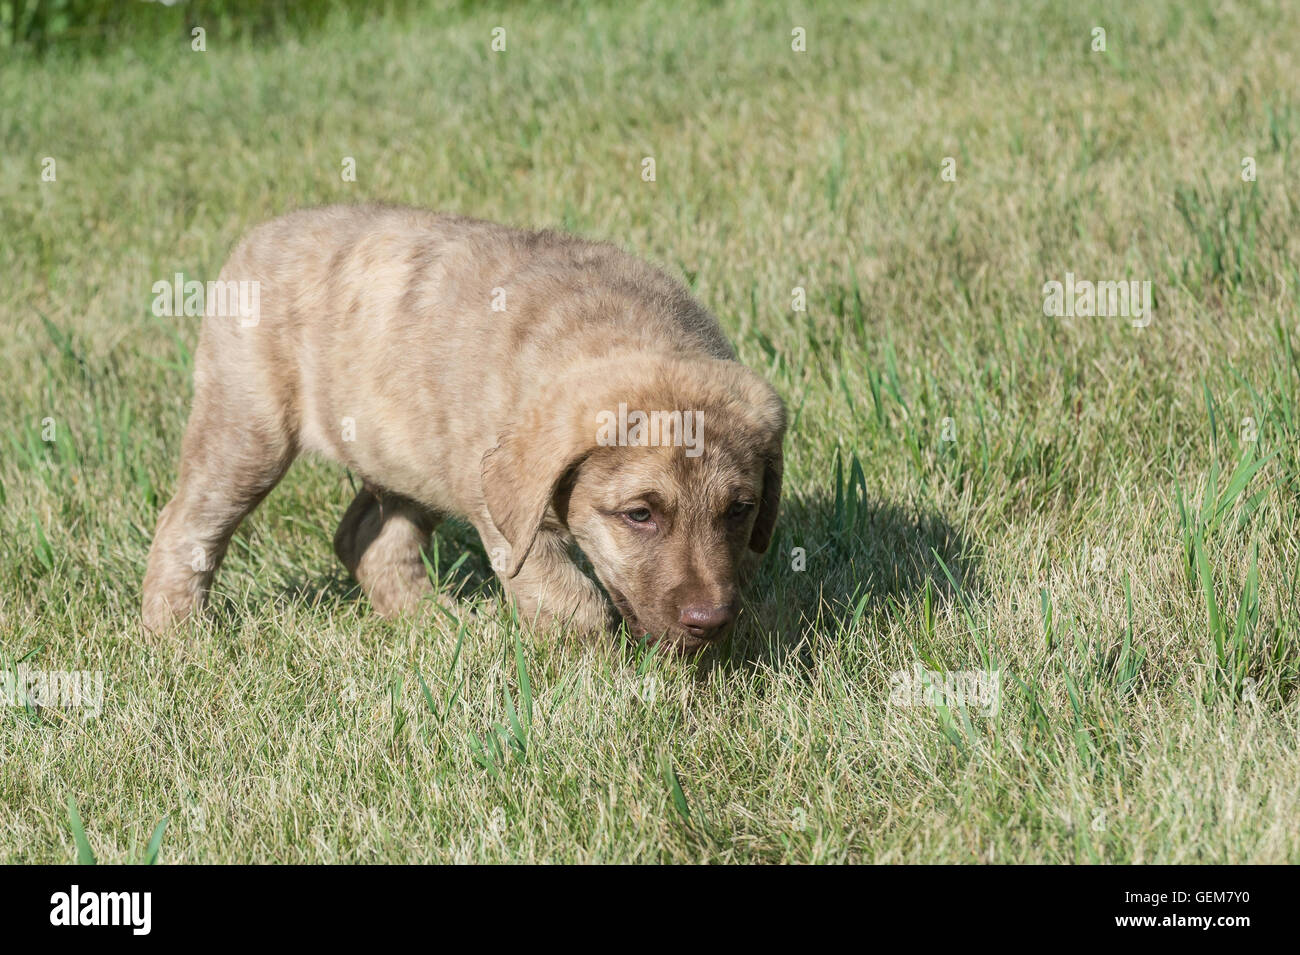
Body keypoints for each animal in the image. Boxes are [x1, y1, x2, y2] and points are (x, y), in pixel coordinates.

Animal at [146, 205, 785, 654]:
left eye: (739, 510)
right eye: (640, 515)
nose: (710, 622)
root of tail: (259, 235)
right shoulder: (505, 515)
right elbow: (570, 603)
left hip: (405, 456)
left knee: (368, 542)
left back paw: (436, 625)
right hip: (246, 432)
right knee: (187, 528)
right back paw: (176, 635)